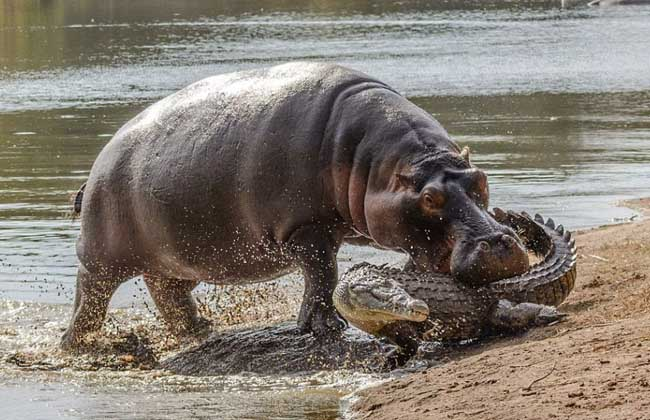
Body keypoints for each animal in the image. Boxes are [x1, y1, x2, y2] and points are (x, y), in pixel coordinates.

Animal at [60, 62, 528, 350]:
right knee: (90, 296)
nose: (501, 243)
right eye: (430, 198)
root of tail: (96, 166)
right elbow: (322, 276)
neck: (374, 163)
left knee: (168, 292)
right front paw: (325, 328)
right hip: (103, 256)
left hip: (176, 257)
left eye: (481, 180)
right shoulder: (306, 229)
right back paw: (80, 345)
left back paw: (202, 329)